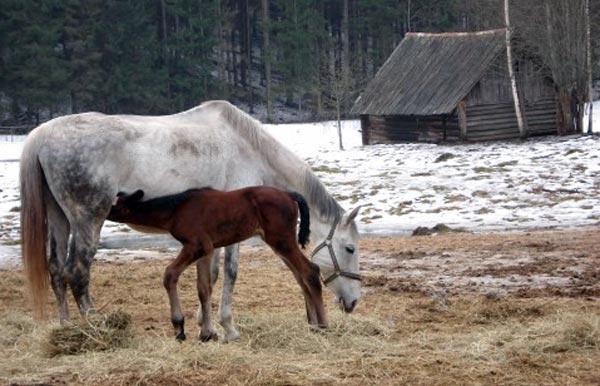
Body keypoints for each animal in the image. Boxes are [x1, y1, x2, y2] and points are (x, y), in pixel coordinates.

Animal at [105, 187, 326, 340]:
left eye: (115, 205)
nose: (101, 209)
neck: (175, 210)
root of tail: (289, 194)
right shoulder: (206, 249)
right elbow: (204, 288)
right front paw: (207, 333)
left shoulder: (196, 245)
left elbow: (170, 274)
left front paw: (179, 327)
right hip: (278, 242)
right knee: (300, 276)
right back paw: (313, 325)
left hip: (281, 239)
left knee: (310, 271)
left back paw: (323, 325)